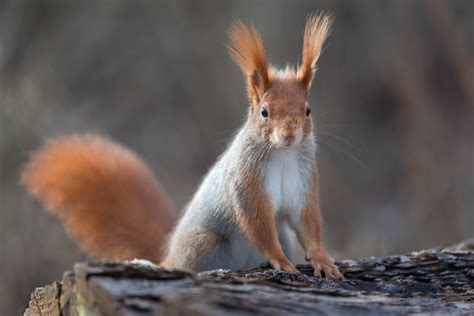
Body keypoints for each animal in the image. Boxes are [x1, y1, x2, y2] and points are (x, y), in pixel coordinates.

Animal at [21, 13, 340, 278]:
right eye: (264, 112)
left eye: (308, 110)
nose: (289, 135)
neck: (283, 154)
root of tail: (169, 256)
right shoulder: (246, 182)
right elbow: (256, 223)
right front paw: (281, 260)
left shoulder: (303, 182)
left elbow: (307, 222)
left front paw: (322, 258)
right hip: (204, 242)